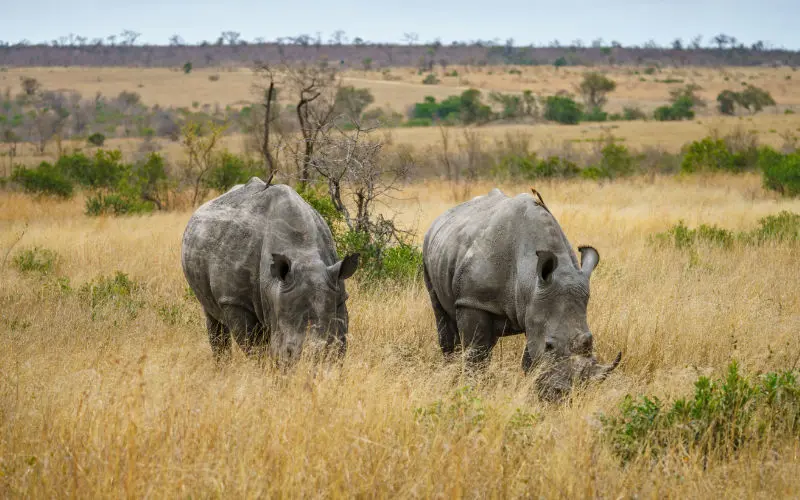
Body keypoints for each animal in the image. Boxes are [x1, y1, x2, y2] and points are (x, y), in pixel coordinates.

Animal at [181, 177, 359, 363]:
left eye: (337, 350)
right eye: (288, 352)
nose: (311, 368)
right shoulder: (235, 301)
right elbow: (255, 347)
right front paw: (266, 367)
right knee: (212, 316)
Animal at [422, 188, 620, 399]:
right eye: (549, 345)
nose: (564, 394)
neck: (529, 279)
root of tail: (442, 216)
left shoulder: (534, 307)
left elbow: (530, 360)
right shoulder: (473, 300)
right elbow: (476, 356)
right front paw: (471, 390)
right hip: (428, 249)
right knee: (442, 315)